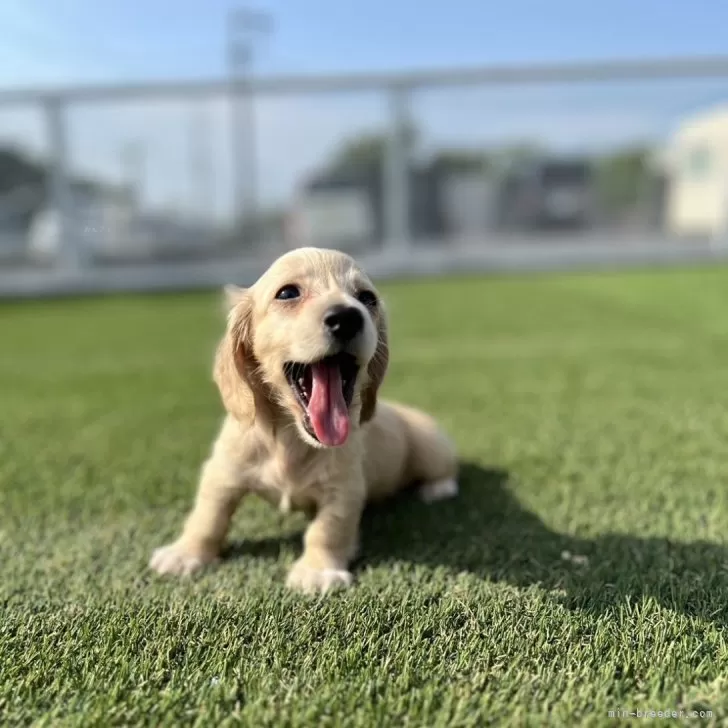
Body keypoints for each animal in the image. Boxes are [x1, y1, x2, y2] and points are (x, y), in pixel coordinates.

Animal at [150, 247, 458, 596]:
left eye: (366, 298)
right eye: (288, 293)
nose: (347, 317)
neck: (289, 437)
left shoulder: (344, 487)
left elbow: (327, 529)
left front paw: (317, 571)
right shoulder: (223, 470)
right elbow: (208, 515)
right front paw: (185, 553)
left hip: (431, 447)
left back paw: (438, 488)